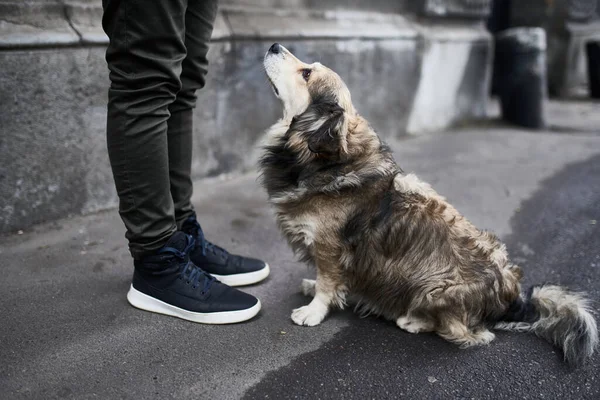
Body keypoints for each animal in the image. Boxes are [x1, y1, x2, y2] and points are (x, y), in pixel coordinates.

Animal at [260, 43, 596, 366]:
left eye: (306, 74)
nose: (274, 45)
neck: (327, 162)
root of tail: (514, 299)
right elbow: (323, 278)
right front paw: (311, 284)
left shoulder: (330, 247)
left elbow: (328, 282)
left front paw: (314, 310)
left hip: (437, 290)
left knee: (471, 333)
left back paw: (413, 320)